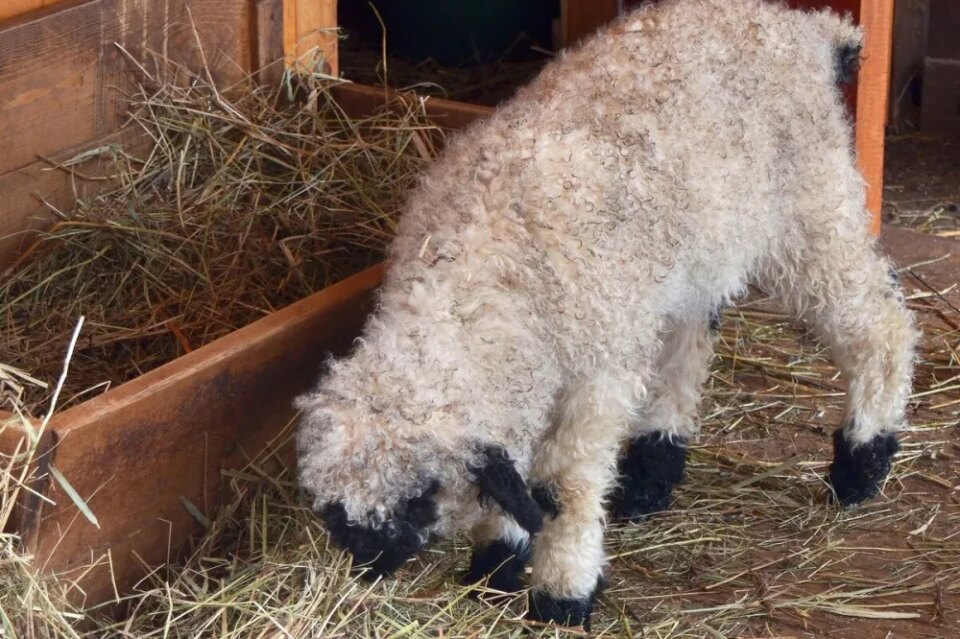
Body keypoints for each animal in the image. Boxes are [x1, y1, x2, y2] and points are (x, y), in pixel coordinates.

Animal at [294, 0, 924, 632]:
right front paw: (498, 564)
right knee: (688, 343)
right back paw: (652, 473)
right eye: (332, 505)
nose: (368, 562)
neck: (488, 268)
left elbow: (561, 484)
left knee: (880, 323)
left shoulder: (596, 375)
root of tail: (808, 29)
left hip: (813, 208)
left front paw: (562, 594)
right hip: (697, 251)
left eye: (422, 494)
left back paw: (864, 461)